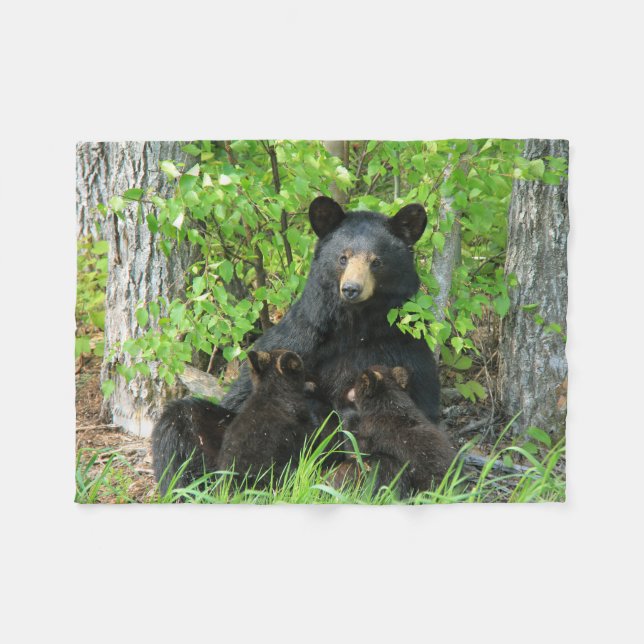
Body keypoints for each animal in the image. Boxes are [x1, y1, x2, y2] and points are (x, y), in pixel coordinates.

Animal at [342, 365, 456, 497]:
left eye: (357, 382)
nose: (347, 391)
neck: (390, 405)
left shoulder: (369, 436)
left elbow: (355, 448)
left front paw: (348, 415)